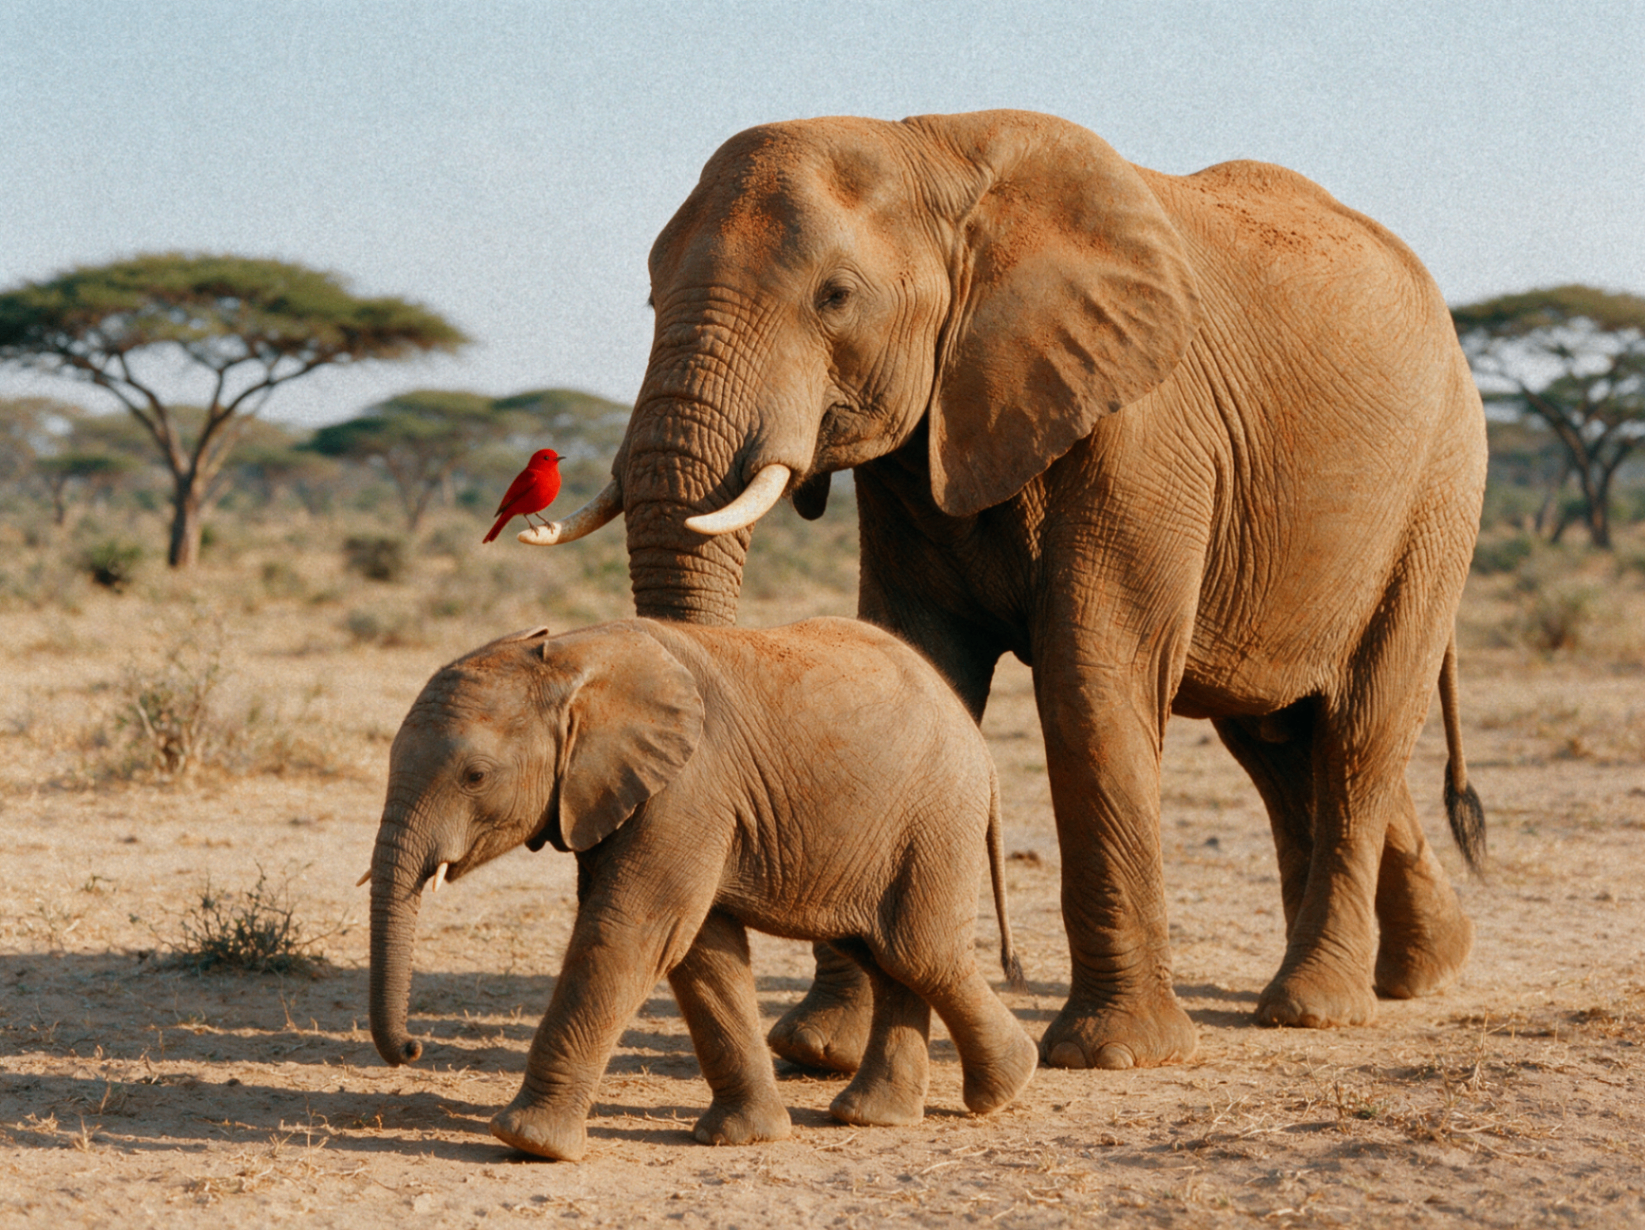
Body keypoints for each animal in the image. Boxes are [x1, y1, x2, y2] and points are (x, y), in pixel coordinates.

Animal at [366, 617, 1038, 1162]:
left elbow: (633, 930)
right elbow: (698, 947)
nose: (413, 1048)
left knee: (919, 952)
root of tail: (978, 741)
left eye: (475, 777)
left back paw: (1004, 1087)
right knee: (885, 957)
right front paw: (744, 1138)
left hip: (935, 816)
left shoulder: (688, 785)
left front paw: (529, 1144)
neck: (574, 655)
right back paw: (875, 1116)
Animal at [526, 108, 1488, 1071]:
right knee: (1280, 735)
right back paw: (1421, 969)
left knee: (1361, 726)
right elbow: (914, 661)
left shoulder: (1142, 426)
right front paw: (822, 1049)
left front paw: (1113, 1054)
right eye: (652, 299)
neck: (931, 151)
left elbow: (1090, 685)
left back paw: (1313, 1006)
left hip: (1438, 490)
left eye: (834, 297)